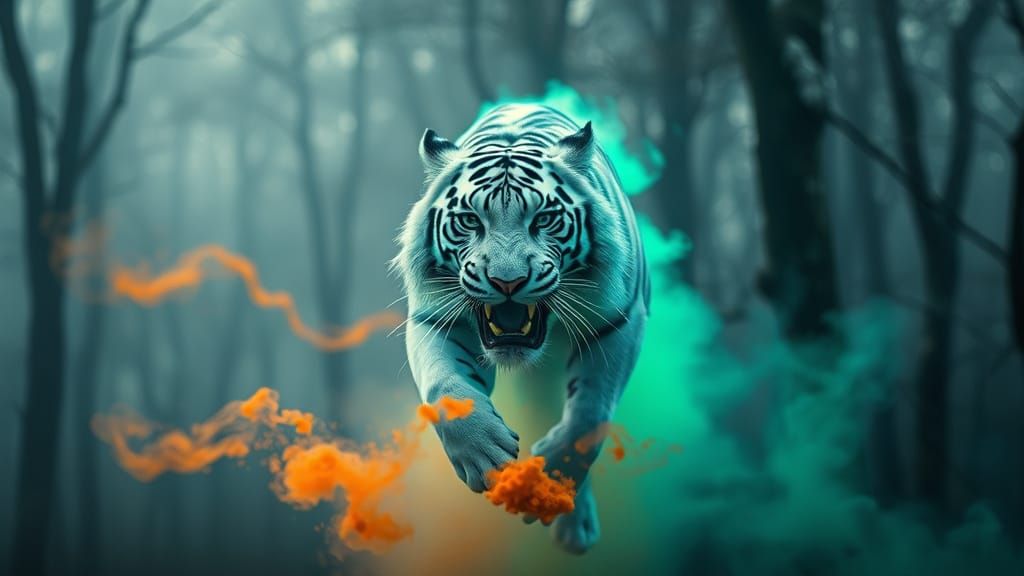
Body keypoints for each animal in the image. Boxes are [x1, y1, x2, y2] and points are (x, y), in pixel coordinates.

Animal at [394, 103, 649, 554]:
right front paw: (485, 456)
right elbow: (444, 387)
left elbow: (590, 411)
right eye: (469, 220)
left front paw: (549, 482)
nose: (507, 281)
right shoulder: (434, 318)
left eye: (544, 219)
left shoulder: (620, 320)